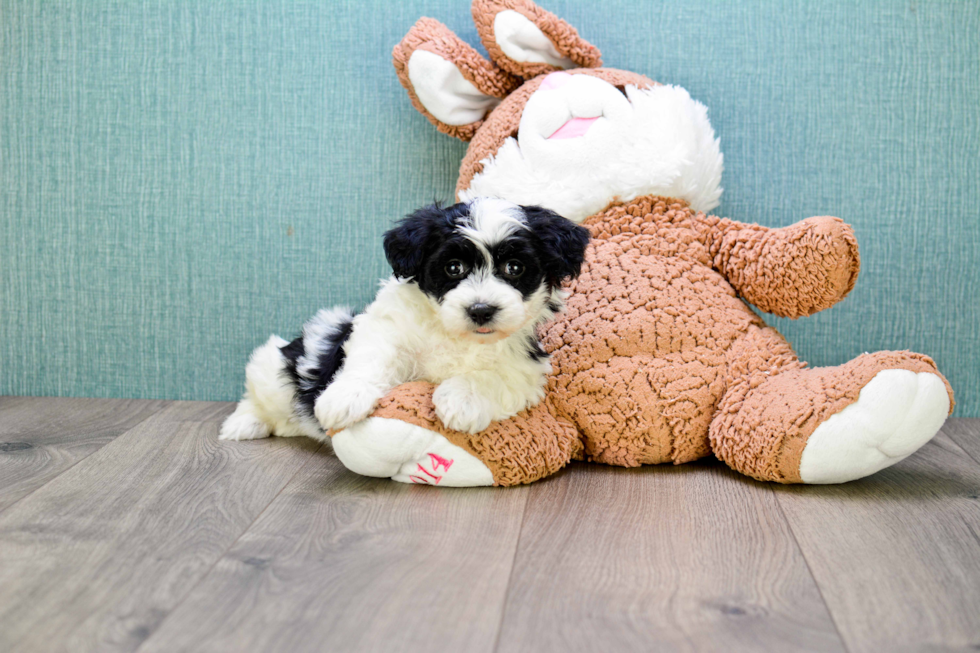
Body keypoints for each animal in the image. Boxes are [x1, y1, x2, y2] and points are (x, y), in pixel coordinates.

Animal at [220, 196, 588, 440]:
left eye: (515, 268)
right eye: (453, 268)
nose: (481, 309)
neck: (455, 335)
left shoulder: (524, 366)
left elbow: (492, 377)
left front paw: (462, 401)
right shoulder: (386, 330)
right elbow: (372, 359)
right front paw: (345, 397)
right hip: (275, 368)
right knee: (258, 392)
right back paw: (244, 423)